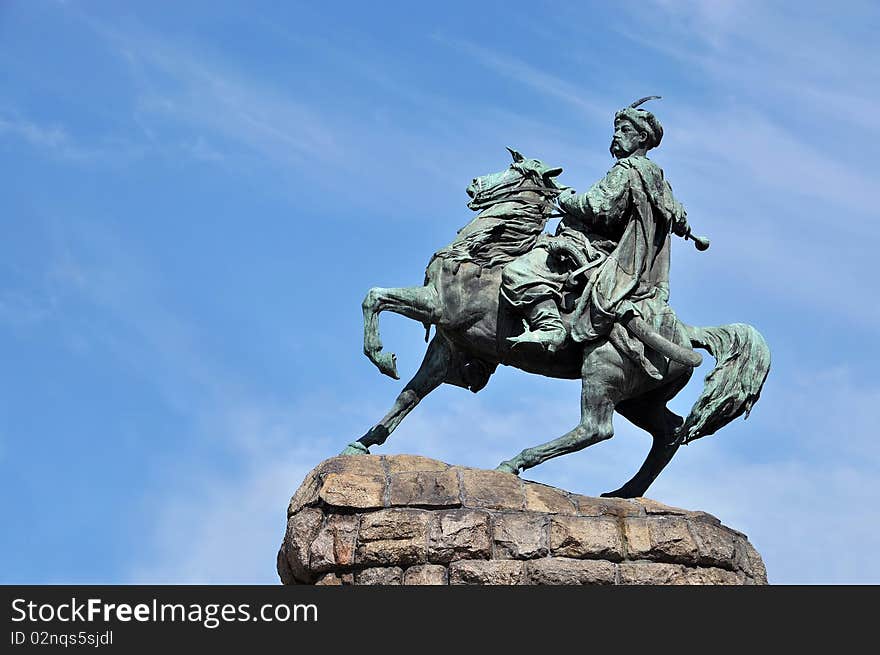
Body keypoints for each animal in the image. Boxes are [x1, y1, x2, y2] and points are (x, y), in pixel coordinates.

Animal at [344, 149, 768, 498]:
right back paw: (625, 492)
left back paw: (516, 462)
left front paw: (381, 357)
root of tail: (687, 334)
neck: (484, 255)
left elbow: (374, 297)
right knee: (669, 432)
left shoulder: (438, 308)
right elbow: (410, 395)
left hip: (602, 372)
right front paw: (364, 441)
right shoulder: (449, 345)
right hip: (640, 399)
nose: (474, 184)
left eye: (517, 171)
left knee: (597, 428)